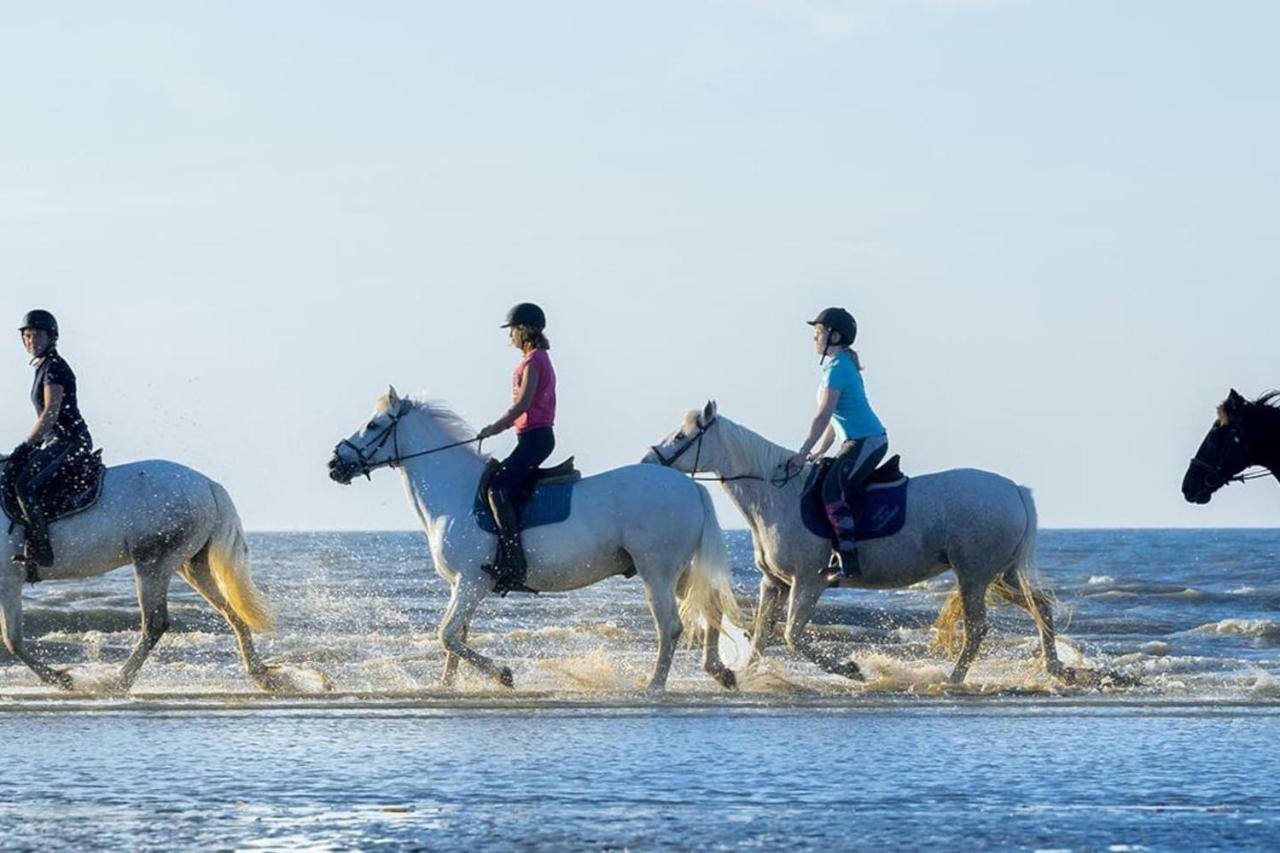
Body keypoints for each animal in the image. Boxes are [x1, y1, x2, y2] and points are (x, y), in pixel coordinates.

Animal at [0, 450, 296, 691]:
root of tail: (209, 484)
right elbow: (12, 639)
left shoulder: (9, 581)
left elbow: (12, 639)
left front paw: (63, 680)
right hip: (191, 566)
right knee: (230, 613)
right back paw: (262, 676)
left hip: (152, 564)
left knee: (155, 623)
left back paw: (118, 680)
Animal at [330, 386, 742, 691]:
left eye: (373, 425)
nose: (335, 464)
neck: (455, 492)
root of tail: (691, 487)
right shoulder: (460, 586)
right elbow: (455, 637)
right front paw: (445, 686)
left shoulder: (472, 582)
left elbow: (447, 634)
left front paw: (503, 674)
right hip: (677, 571)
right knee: (711, 606)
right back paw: (719, 672)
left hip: (656, 572)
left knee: (670, 626)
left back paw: (654, 686)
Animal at [645, 399, 1075, 686]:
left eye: (682, 436)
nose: (650, 461)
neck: (776, 494)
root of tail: (1015, 489)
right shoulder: (775, 583)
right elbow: (763, 636)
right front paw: (745, 678)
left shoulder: (808, 581)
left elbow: (792, 635)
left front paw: (851, 670)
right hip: (1001, 574)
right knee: (1041, 607)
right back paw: (1059, 671)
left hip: (974, 575)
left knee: (977, 629)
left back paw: (952, 680)